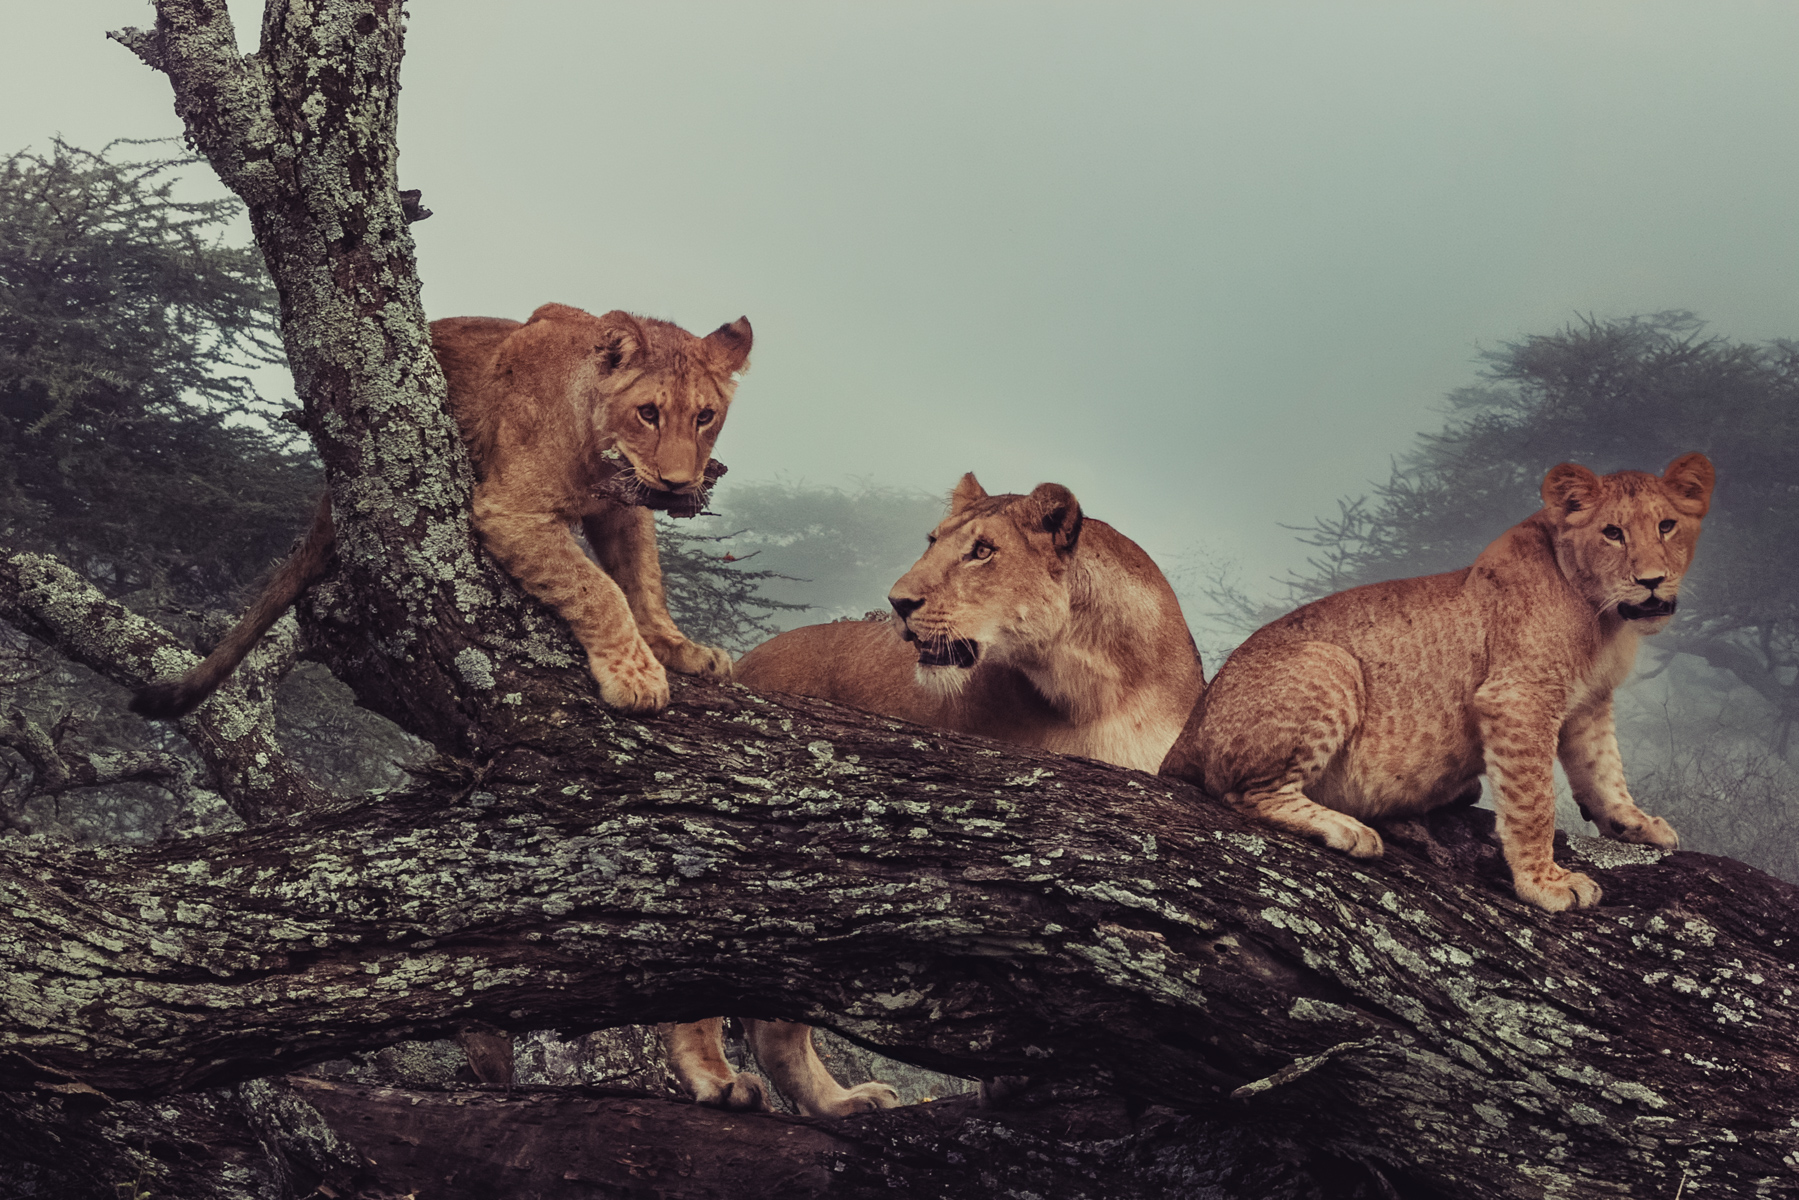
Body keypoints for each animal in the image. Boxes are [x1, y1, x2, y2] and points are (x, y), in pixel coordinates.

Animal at [131, 302, 750, 719]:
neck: (603, 460)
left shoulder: (624, 509)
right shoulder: (509, 511)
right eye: (648, 413)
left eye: (705, 417)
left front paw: (681, 648)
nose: (676, 484)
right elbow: (600, 590)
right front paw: (637, 676)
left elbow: (643, 581)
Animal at [665, 472, 1208, 1116]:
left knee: (776, 1025)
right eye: (933, 541)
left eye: (983, 551)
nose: (898, 603)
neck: (1098, 682)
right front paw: (1010, 1075)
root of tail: (745, 662)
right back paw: (719, 1083)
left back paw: (839, 1103)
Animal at [1159, 453, 1714, 913]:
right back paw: (1347, 828)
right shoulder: (1517, 698)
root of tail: (1184, 735)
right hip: (1329, 662)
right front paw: (1545, 883)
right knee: (1244, 793)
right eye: (1612, 533)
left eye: (1667, 526)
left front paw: (1634, 823)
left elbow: (1604, 771)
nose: (1651, 581)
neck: (1604, 620)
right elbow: (1534, 801)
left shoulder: (1590, 703)